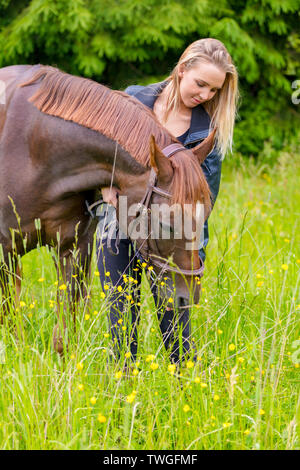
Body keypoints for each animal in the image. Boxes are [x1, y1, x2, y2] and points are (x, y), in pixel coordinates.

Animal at [0, 65, 216, 352]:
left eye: (205, 217)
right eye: (166, 224)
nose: (188, 297)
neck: (36, 149)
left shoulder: (73, 249)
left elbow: (63, 336)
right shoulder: (5, 252)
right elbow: (11, 327)